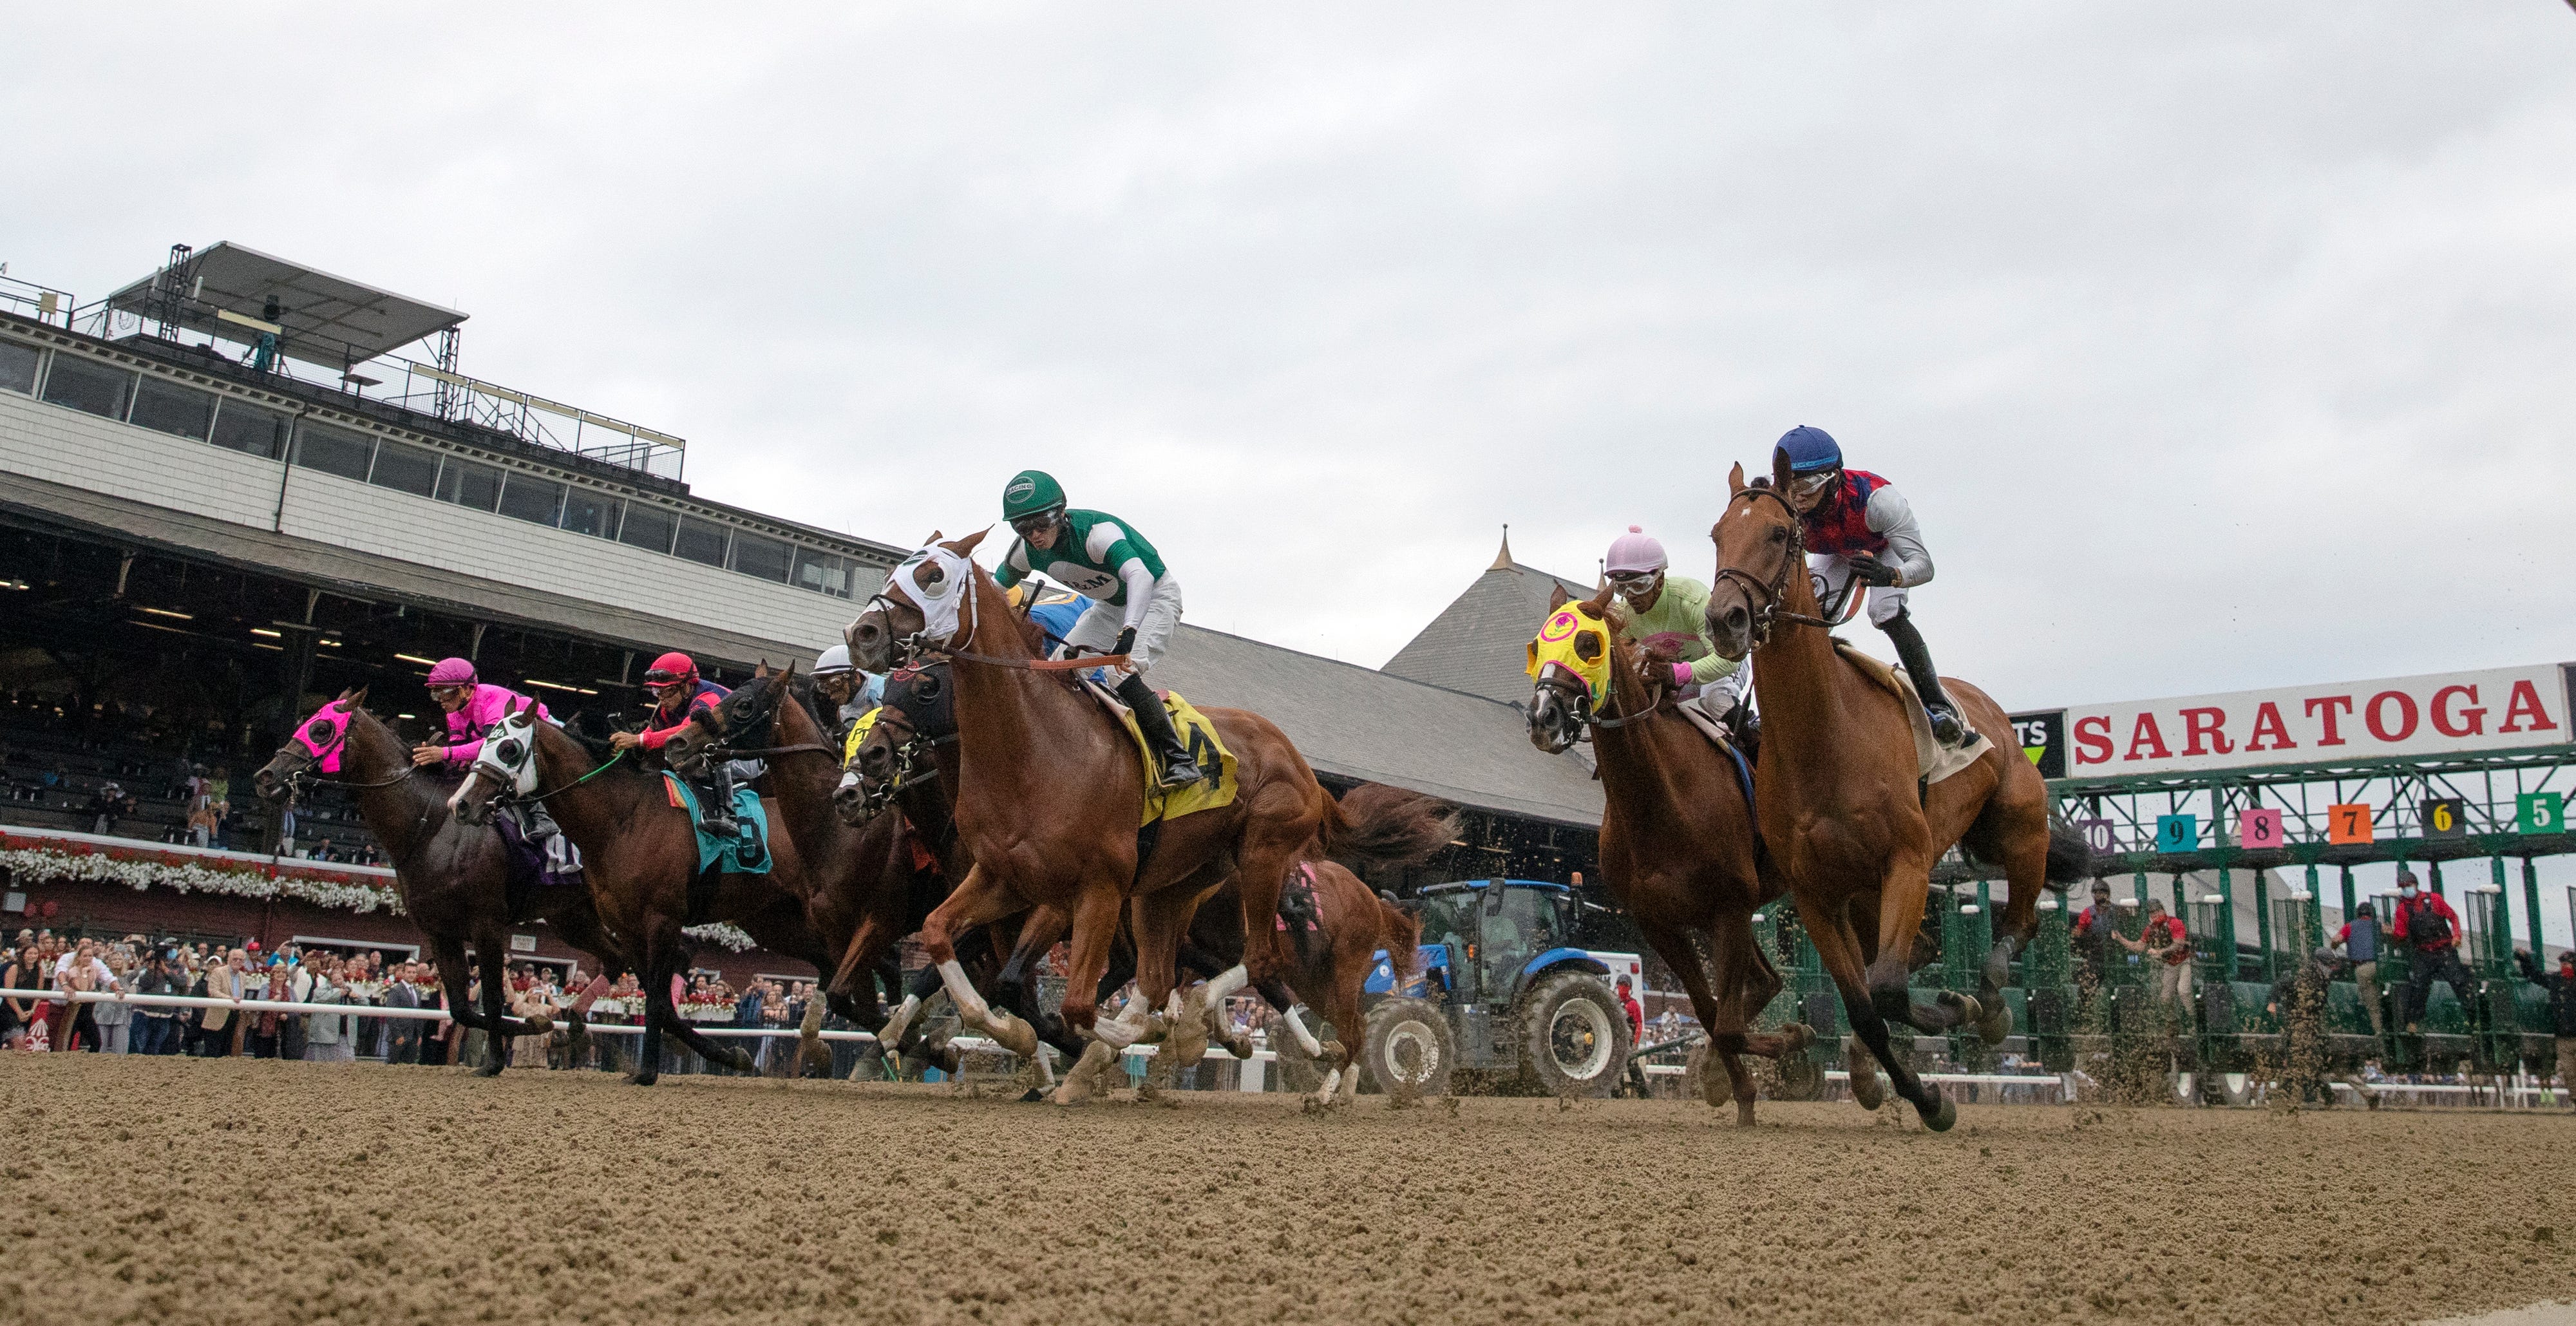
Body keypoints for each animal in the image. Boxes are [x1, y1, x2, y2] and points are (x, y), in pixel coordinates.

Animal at [250, 695, 634, 1081]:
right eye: (307, 721)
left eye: (321, 729)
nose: (265, 777)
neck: (431, 826)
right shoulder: (439, 931)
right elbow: (462, 1009)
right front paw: (535, 1024)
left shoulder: (486, 925)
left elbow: (492, 998)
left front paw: (496, 1060)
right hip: (571, 918)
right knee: (617, 957)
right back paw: (578, 1026)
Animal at [448, 700, 819, 1086]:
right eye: (484, 743)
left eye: (509, 749)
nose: (460, 804)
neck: (623, 819)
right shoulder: (625, 924)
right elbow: (659, 999)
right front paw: (730, 1055)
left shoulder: (662, 919)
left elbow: (656, 998)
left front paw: (649, 1071)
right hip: (777, 922)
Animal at [840, 530, 1463, 1092]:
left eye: (933, 575)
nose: (860, 632)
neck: (1037, 749)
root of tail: (1305, 768)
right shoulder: (1005, 877)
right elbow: (944, 942)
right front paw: (996, 1037)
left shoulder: (1090, 891)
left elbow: (1074, 1004)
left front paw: (1114, 1045)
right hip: (1174, 890)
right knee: (1185, 978)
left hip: (1265, 860)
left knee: (1264, 965)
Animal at [1515, 589, 1824, 1122]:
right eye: (1537, 645)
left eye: (1588, 643)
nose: (1541, 718)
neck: (1662, 800)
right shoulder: (1663, 923)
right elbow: (1712, 1013)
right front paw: (1732, 1084)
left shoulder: (1730, 909)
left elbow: (1727, 1024)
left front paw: (1789, 1042)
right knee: (1766, 983)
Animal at [1710, 455, 2092, 1133]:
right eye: (1716, 535)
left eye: (1778, 534)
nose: (1724, 619)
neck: (1824, 736)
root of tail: (1987, 707)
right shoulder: (1816, 895)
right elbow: (1864, 1005)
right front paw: (1928, 1096)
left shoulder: (1908, 862)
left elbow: (1887, 990)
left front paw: (1956, 1011)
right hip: (1879, 887)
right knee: (1922, 953)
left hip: (2019, 829)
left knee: (2018, 919)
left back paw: (1989, 998)